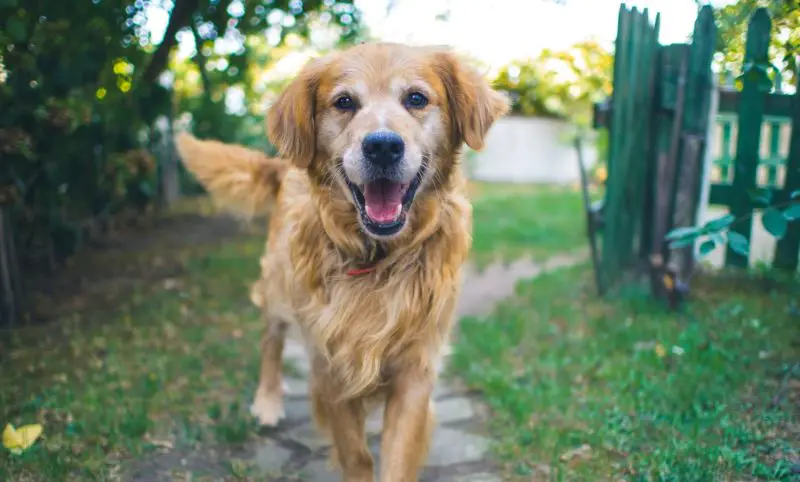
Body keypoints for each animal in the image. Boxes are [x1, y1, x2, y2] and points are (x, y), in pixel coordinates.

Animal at [175, 43, 506, 480]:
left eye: (416, 98)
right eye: (344, 102)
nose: (382, 146)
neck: (379, 258)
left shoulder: (415, 369)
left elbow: (396, 455)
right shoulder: (330, 364)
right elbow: (355, 453)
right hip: (279, 286)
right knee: (271, 340)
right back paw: (268, 399)